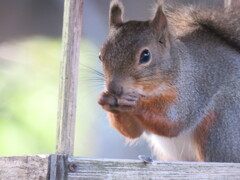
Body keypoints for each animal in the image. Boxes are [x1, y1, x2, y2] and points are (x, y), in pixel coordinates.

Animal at [97, 0, 240, 162]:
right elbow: (134, 131)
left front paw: (135, 103)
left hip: (221, 123)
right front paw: (105, 99)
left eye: (145, 55)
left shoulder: (190, 91)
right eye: (100, 56)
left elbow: (173, 121)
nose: (113, 89)